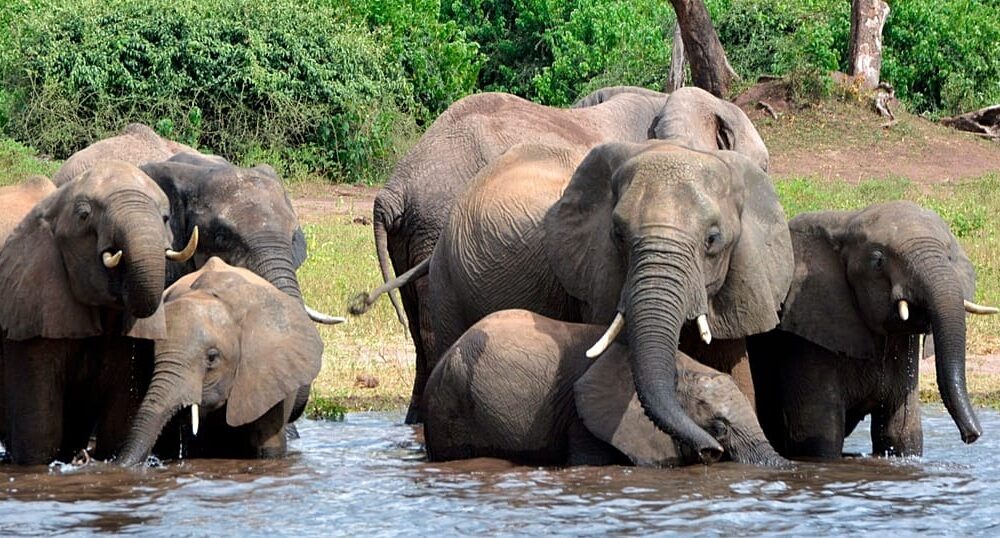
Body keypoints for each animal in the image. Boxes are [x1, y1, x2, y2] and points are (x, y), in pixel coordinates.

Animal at [747, 201, 997, 459]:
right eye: (878, 261)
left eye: (949, 257)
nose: (971, 436)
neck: (845, 222)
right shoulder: (806, 334)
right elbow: (818, 438)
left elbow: (901, 434)